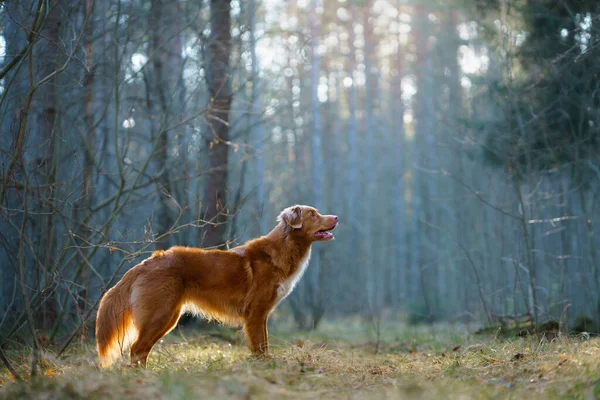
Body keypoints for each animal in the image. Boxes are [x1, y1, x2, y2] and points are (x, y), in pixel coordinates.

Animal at [95, 205, 338, 368]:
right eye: (313, 214)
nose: (336, 216)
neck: (283, 249)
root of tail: (145, 264)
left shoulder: (261, 314)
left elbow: (264, 342)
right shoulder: (256, 312)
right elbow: (261, 345)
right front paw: (265, 366)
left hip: (168, 317)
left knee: (141, 351)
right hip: (160, 314)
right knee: (136, 349)